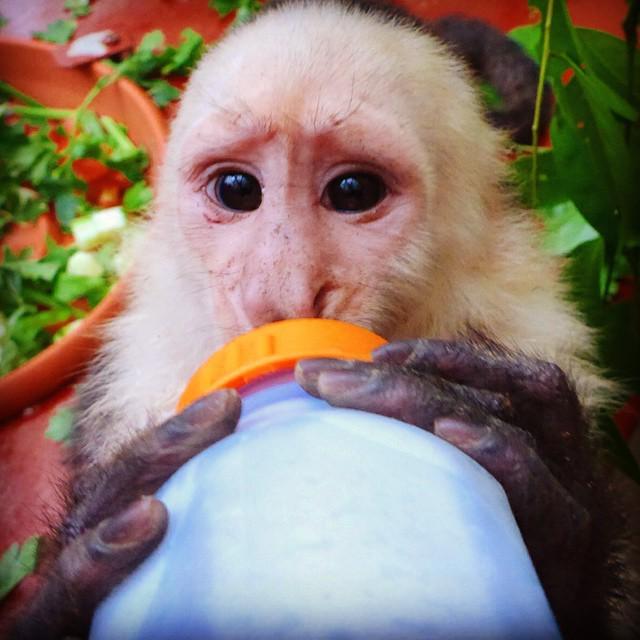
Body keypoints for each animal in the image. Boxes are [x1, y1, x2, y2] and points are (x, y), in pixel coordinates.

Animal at [7, 1, 638, 638]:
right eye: (237, 189)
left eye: (353, 190)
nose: (279, 296)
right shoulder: (131, 377)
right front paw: (104, 523)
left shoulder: (531, 332)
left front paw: (531, 466)